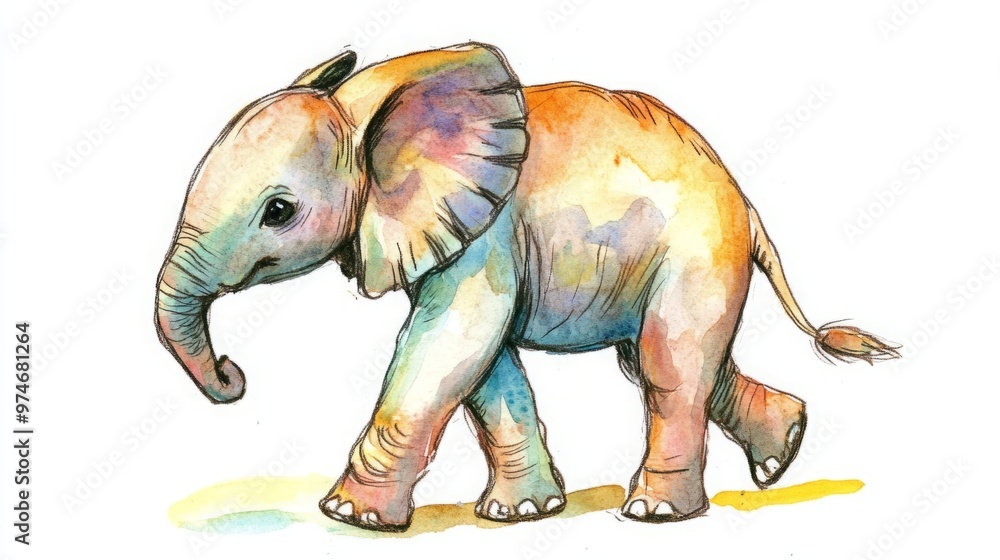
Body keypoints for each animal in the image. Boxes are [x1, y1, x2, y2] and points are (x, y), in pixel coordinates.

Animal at [155, 42, 898, 531]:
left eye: (279, 212)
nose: (233, 376)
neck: (365, 107)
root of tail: (745, 202)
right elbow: (485, 363)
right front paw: (524, 515)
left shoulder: (486, 233)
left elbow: (451, 342)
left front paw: (349, 516)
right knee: (662, 359)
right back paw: (783, 451)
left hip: (698, 248)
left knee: (667, 362)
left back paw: (655, 513)